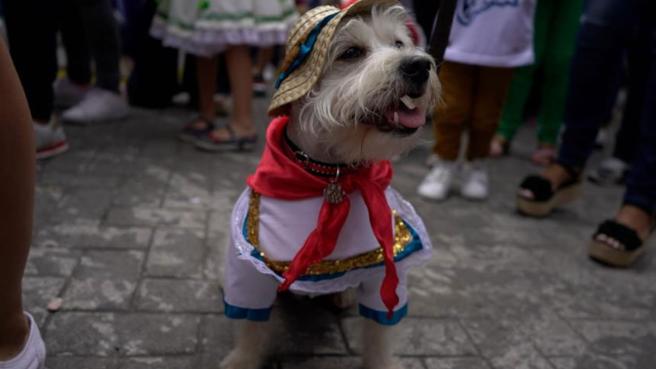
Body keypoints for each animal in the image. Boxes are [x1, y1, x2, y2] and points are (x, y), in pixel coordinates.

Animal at [220, 2, 440, 368]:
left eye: (398, 43)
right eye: (351, 53)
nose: (419, 65)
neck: (331, 176)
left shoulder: (389, 266)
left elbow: (379, 333)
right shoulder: (249, 266)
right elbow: (251, 327)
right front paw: (241, 360)